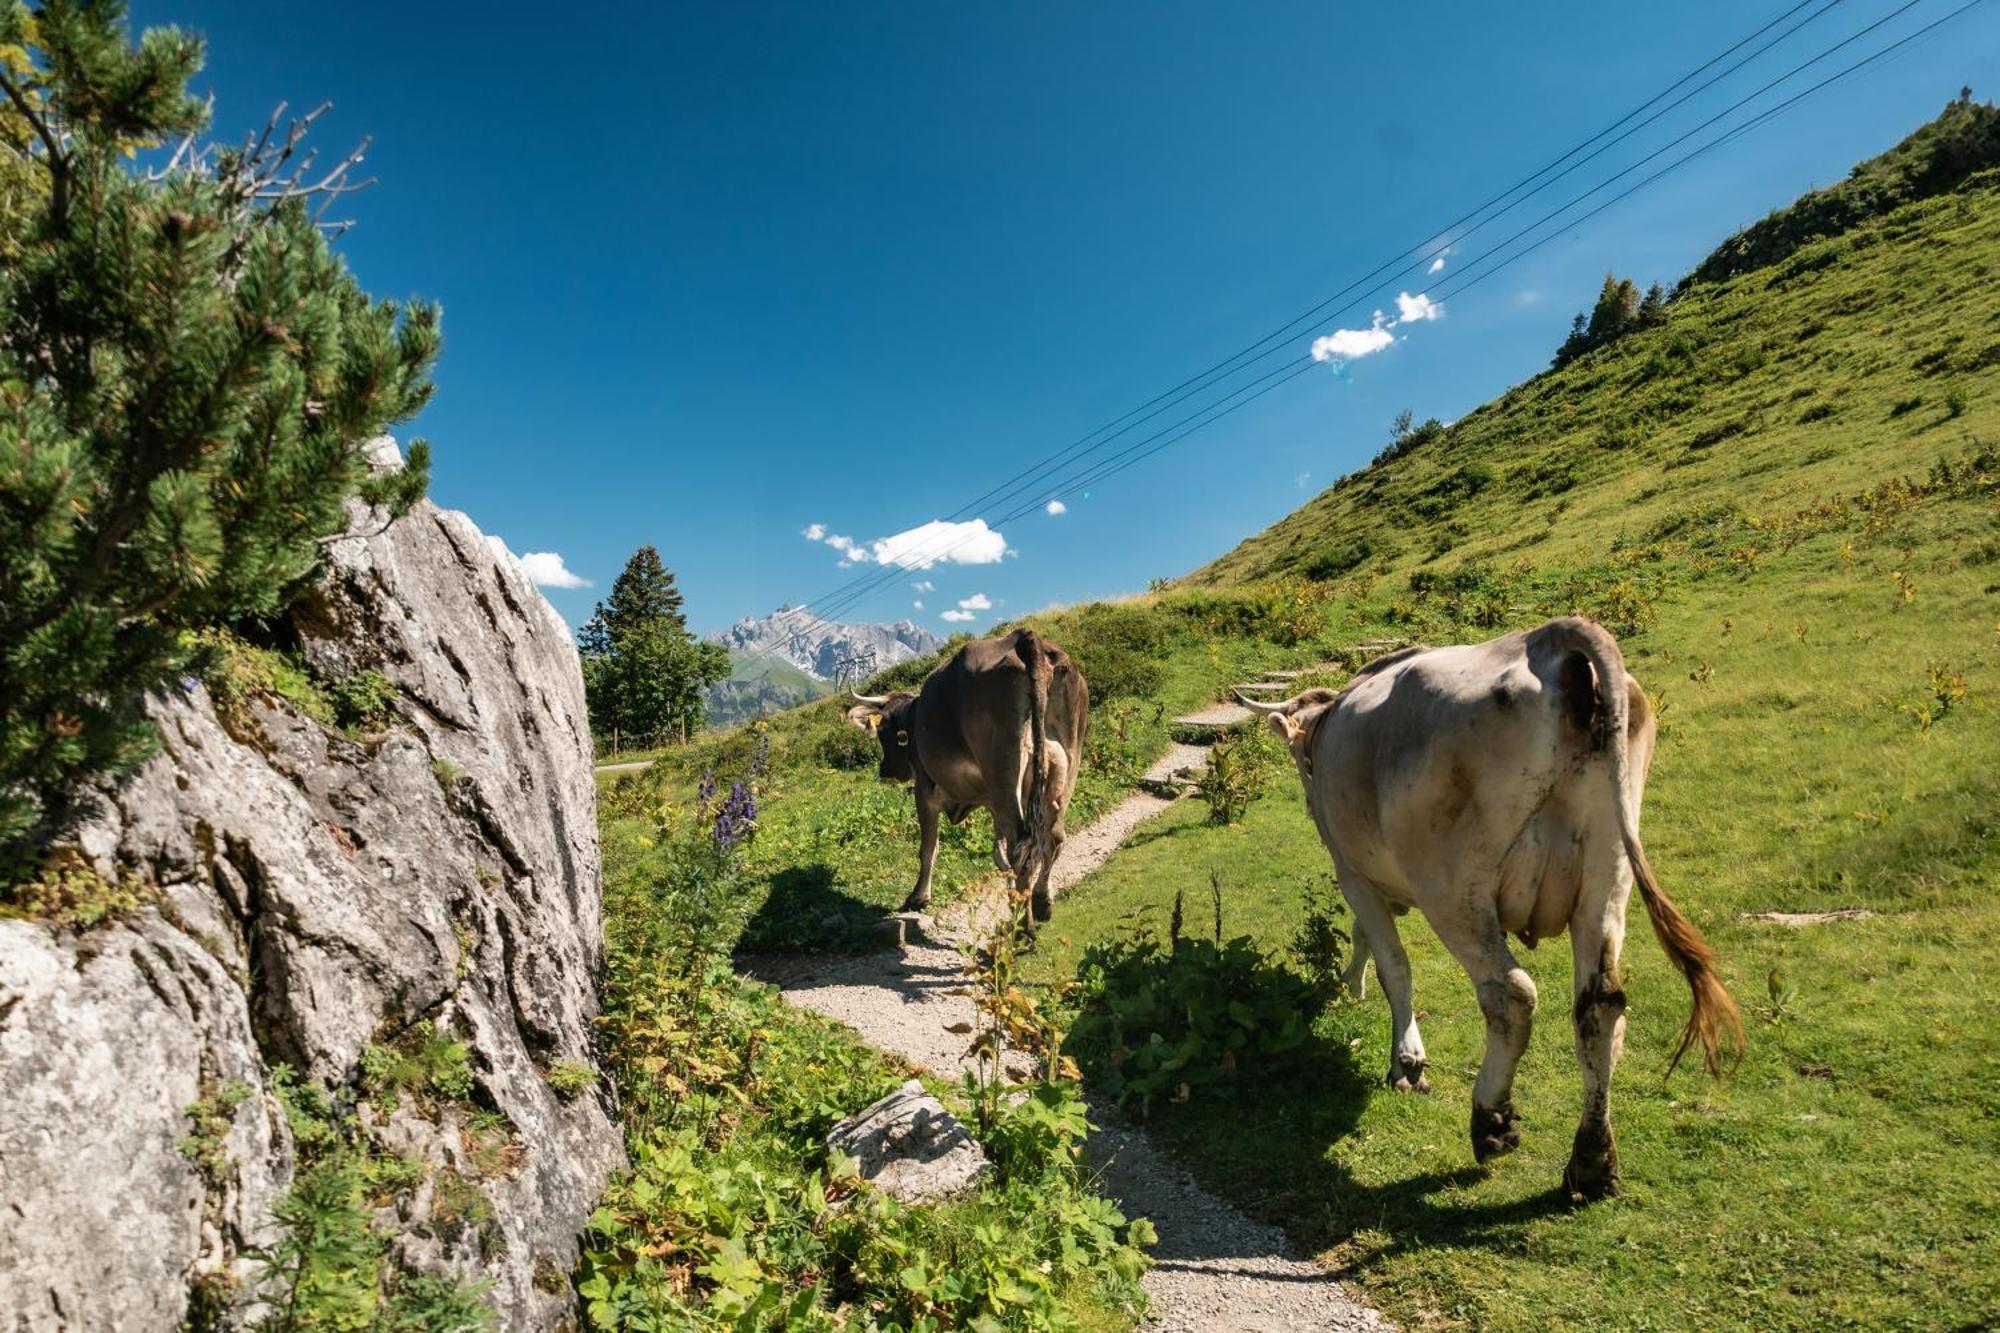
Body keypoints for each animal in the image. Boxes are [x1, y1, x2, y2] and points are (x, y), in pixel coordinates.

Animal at [1240, 616, 1744, 1200]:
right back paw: (1591, 1163)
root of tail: (1547, 642)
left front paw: (1405, 1060)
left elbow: (1393, 964)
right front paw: (1353, 988)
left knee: (1510, 993)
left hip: (1455, 887)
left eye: (1299, 760)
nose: (1307, 793)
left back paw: (1491, 1122)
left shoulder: (1353, 873)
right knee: (1599, 1007)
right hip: (1608, 873)